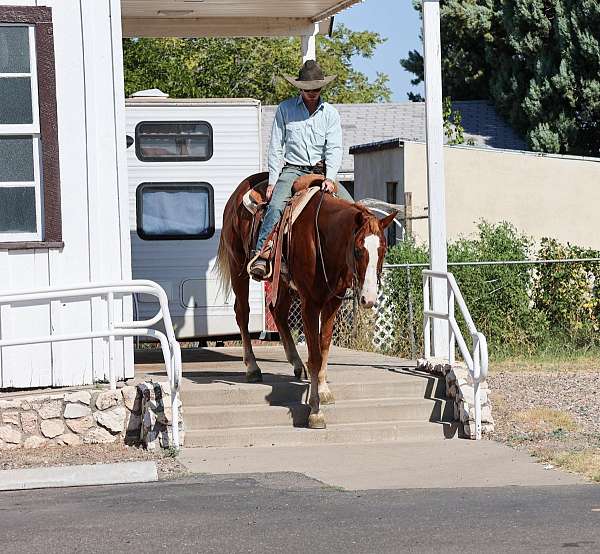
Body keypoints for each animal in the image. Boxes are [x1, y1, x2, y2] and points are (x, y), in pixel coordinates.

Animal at [213, 171, 396, 426]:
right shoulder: (310, 303)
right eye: (359, 249)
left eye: (383, 249)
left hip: (282, 281)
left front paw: (324, 390)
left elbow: (324, 346)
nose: (368, 299)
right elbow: (316, 355)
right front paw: (315, 411)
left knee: (278, 311)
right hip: (237, 265)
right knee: (243, 313)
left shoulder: (332, 301)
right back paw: (252, 367)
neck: (322, 237)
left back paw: (296, 363)